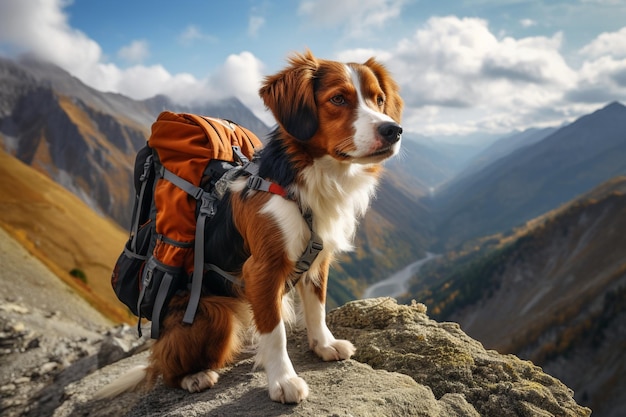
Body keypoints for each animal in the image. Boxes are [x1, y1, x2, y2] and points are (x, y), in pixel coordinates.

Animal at [95, 49, 402, 404]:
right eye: (338, 98)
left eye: (378, 100)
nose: (394, 130)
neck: (304, 180)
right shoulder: (263, 269)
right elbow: (275, 332)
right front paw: (283, 380)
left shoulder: (318, 257)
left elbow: (317, 308)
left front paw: (323, 345)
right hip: (215, 313)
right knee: (165, 367)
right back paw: (194, 376)